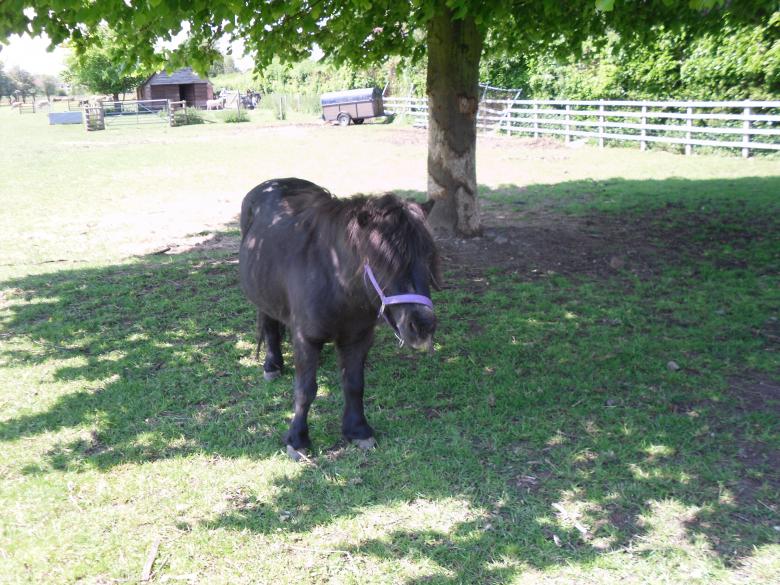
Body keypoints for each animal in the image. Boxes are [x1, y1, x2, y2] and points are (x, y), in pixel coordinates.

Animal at [239, 178, 441, 459]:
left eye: (429, 257)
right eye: (383, 261)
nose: (422, 325)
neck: (335, 280)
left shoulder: (358, 338)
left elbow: (354, 384)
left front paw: (358, 430)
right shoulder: (306, 339)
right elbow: (305, 390)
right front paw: (297, 439)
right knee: (269, 324)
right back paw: (272, 365)